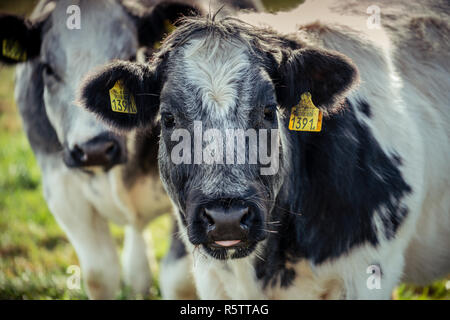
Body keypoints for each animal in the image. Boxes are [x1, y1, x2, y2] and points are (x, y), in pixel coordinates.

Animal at [0, 0, 264, 300]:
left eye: (129, 56)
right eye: (47, 69)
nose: (95, 149)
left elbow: (177, 278)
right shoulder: (63, 191)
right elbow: (100, 275)